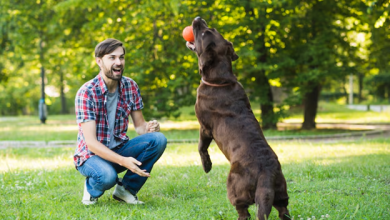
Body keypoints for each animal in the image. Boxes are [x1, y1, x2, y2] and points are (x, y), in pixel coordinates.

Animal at [186, 16, 290, 219]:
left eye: (204, 32)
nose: (198, 18)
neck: (220, 80)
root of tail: (266, 172)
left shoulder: (205, 127)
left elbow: (201, 147)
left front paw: (207, 166)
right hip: (281, 191)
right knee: (283, 210)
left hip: (234, 185)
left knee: (243, 211)